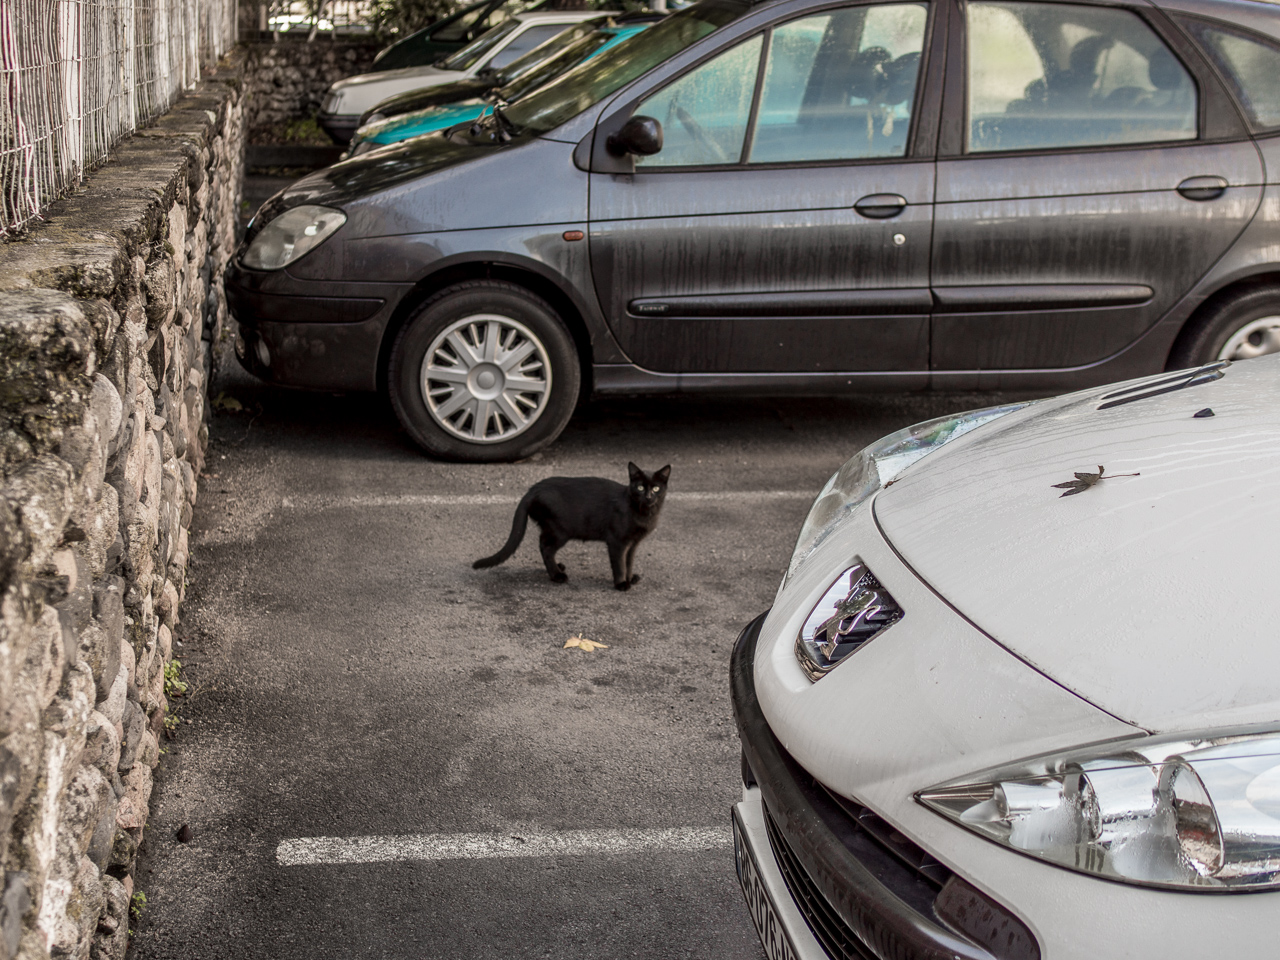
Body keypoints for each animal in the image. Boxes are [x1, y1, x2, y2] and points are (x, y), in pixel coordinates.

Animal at [471, 463, 670, 591]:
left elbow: (628, 561)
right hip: (561, 530)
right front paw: (621, 583)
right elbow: (619, 563)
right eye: (640, 487)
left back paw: (558, 567)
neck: (644, 514)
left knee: (543, 543)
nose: (649, 496)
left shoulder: (633, 544)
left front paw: (630, 577)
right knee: (545, 547)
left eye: (656, 488)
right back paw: (556, 575)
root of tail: (532, 490)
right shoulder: (617, 542)